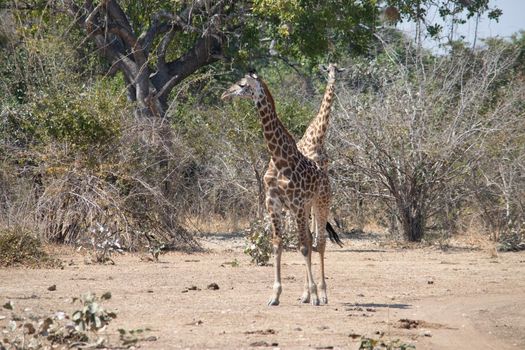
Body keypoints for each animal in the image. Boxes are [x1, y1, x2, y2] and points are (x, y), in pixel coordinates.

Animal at [221, 72, 328, 304]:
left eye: (242, 85)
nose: (225, 94)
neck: (279, 159)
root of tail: (324, 173)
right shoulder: (273, 203)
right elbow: (278, 243)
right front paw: (275, 295)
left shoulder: (296, 203)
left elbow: (303, 247)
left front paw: (315, 294)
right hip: (305, 208)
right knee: (309, 239)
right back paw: (305, 294)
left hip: (320, 203)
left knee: (319, 242)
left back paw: (323, 294)